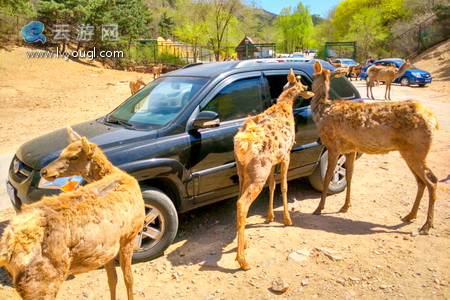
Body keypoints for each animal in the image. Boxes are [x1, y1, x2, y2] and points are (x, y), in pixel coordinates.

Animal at [0, 126, 144, 300]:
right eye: (62, 151)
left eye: (74, 156)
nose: (44, 171)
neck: (116, 174)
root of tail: (7, 248)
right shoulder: (130, 233)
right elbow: (128, 278)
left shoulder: (113, 243)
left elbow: (113, 279)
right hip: (42, 279)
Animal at [234, 69, 314, 270]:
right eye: (304, 85)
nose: (308, 89)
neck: (285, 106)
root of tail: (242, 145)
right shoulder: (286, 154)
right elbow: (284, 186)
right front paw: (287, 219)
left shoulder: (273, 161)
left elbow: (272, 186)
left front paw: (270, 216)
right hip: (258, 171)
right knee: (242, 203)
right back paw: (243, 260)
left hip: (243, 171)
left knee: (238, 199)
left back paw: (244, 244)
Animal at [312, 60, 438, 234]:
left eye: (312, 76)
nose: (307, 87)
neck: (322, 112)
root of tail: (434, 121)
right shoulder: (350, 149)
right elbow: (350, 176)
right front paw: (345, 206)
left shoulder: (333, 145)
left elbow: (328, 176)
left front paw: (319, 208)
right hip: (410, 152)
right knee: (421, 182)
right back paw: (409, 216)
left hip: (416, 149)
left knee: (432, 181)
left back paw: (426, 225)